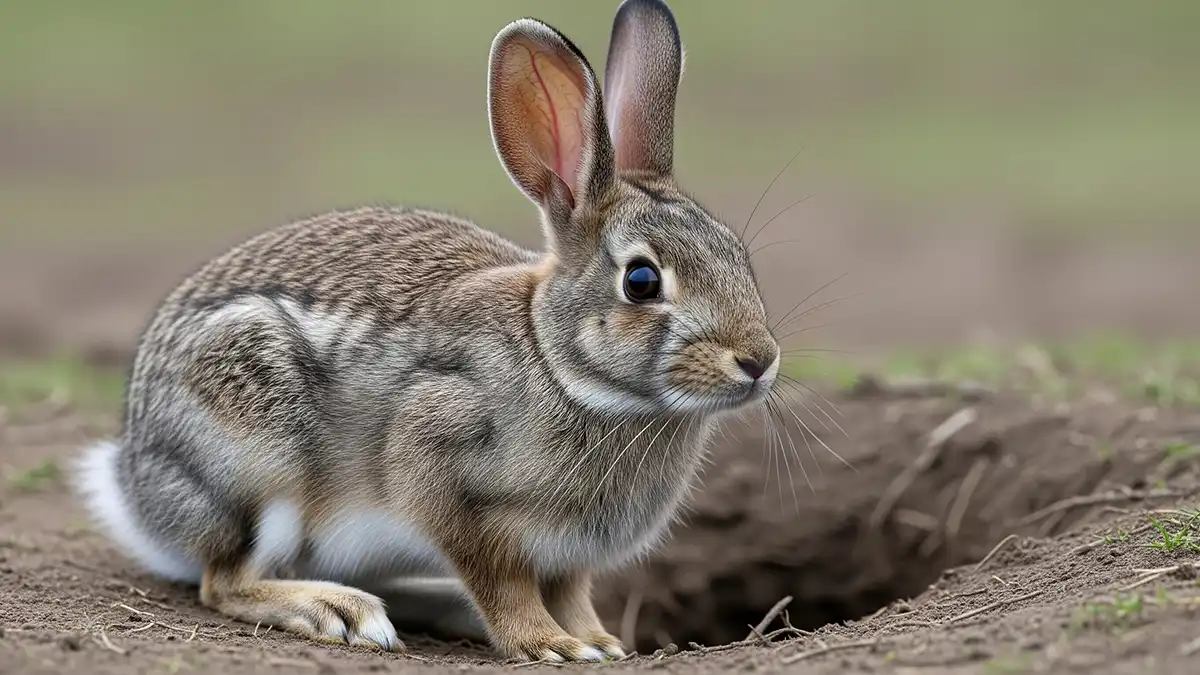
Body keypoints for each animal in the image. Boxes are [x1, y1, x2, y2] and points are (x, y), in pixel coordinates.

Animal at [72, 0, 780, 663]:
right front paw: (551, 645)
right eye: (641, 281)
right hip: (258, 460)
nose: (758, 361)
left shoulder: (568, 558)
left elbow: (571, 592)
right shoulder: (446, 473)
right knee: (227, 580)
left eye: (738, 255)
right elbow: (502, 582)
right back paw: (341, 612)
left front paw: (599, 642)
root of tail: (134, 487)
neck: (563, 366)